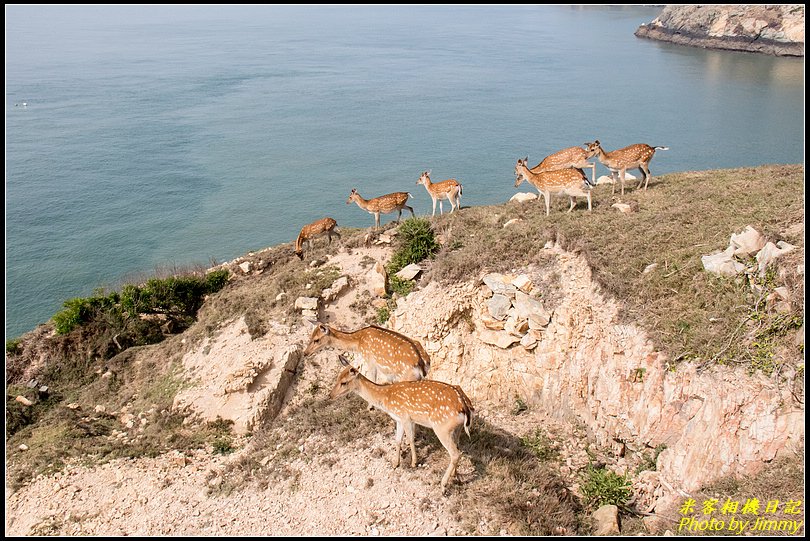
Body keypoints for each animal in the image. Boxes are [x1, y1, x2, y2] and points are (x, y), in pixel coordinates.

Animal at [330, 352, 474, 488]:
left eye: (344, 382)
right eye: (337, 378)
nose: (331, 395)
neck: (385, 397)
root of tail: (465, 407)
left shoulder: (406, 417)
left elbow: (410, 438)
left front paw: (414, 462)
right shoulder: (398, 419)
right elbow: (398, 440)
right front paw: (395, 463)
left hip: (441, 427)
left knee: (455, 453)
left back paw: (443, 485)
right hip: (456, 429)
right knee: (457, 448)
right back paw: (455, 475)